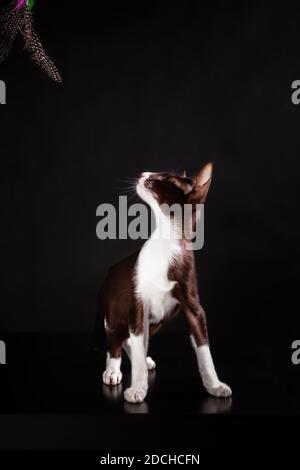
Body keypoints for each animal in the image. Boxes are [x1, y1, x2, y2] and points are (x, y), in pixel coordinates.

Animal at [98, 163, 232, 402]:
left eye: (166, 179)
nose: (142, 173)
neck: (165, 240)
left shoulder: (193, 308)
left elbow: (204, 351)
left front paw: (215, 385)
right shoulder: (138, 304)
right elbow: (134, 346)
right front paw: (138, 388)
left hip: (158, 320)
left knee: (132, 340)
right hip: (114, 313)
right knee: (115, 340)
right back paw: (113, 370)